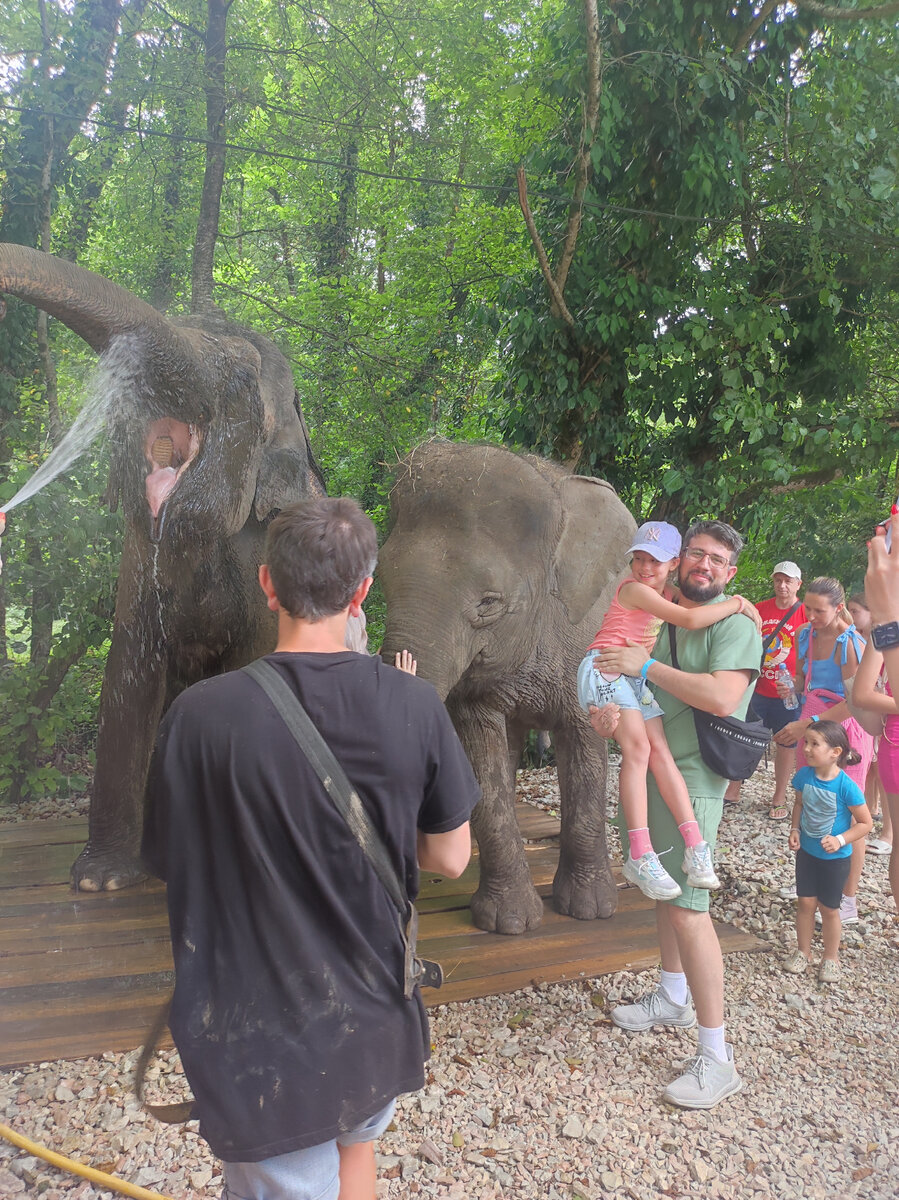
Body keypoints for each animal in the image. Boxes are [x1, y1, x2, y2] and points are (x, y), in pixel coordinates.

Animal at [376, 444, 628, 936]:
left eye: (489, 603)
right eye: (379, 581)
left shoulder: (587, 638)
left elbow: (585, 746)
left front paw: (590, 910)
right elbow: (482, 755)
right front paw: (509, 924)